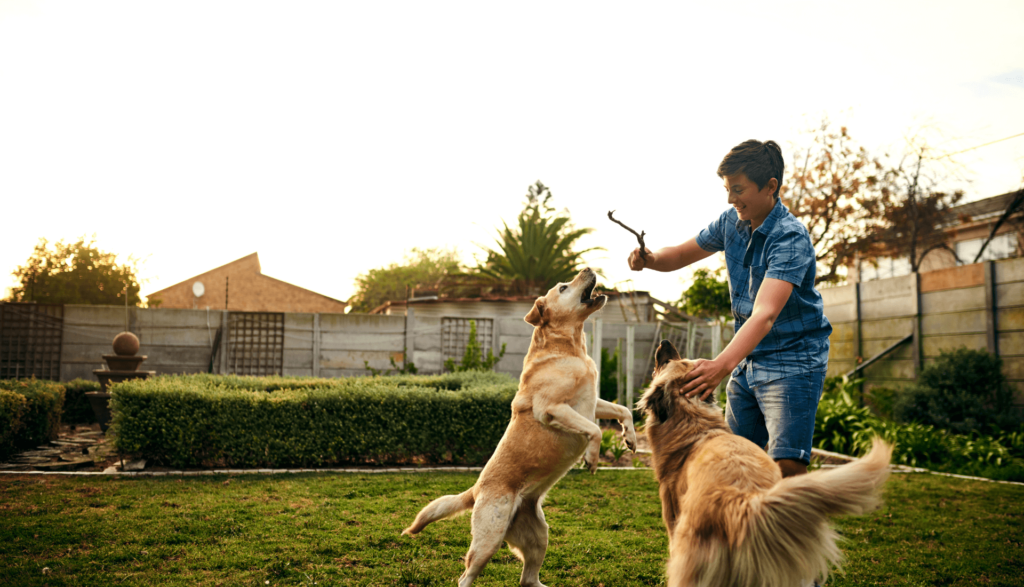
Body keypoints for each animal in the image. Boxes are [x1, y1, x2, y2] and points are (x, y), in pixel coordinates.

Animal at [403, 268, 634, 585]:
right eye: (563, 287)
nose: (587, 269)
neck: (569, 348)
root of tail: (476, 490)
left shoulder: (591, 404)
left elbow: (623, 410)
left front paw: (630, 438)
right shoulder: (551, 408)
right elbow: (596, 430)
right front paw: (592, 458)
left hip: (539, 536)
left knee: (528, 579)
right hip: (489, 540)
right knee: (466, 576)